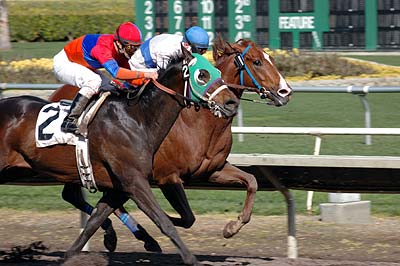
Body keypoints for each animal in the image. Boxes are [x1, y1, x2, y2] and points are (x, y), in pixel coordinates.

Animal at [0, 48, 239, 264]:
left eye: (217, 72)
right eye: (202, 74)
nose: (231, 103)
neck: (138, 119)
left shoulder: (118, 186)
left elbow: (94, 221)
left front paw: (74, 254)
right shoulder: (135, 181)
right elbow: (163, 221)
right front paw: (190, 258)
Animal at [49, 35, 294, 251]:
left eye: (270, 58)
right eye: (257, 61)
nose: (286, 91)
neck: (198, 122)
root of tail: (55, 93)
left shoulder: (211, 170)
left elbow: (251, 181)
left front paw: (232, 227)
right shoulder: (166, 177)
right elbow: (184, 217)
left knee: (71, 195)